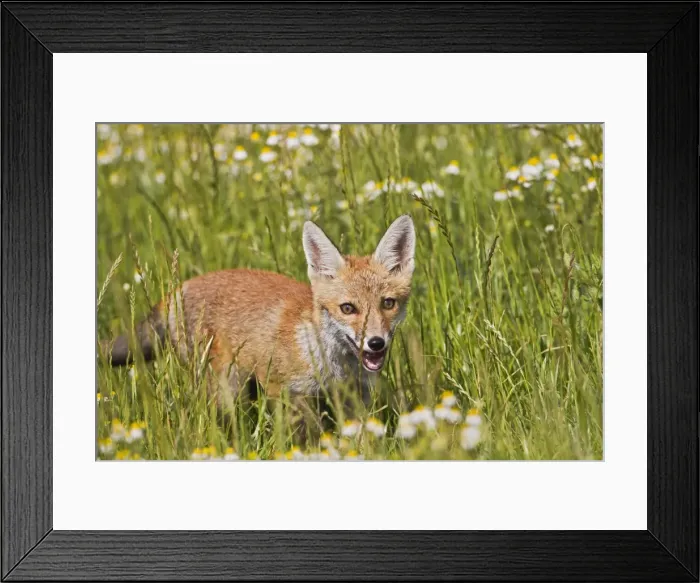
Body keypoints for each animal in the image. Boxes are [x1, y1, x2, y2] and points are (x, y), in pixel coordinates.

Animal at [104, 214, 416, 411]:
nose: (376, 343)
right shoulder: (286, 392)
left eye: (388, 304)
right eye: (348, 308)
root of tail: (178, 288)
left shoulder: (356, 399)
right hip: (226, 388)